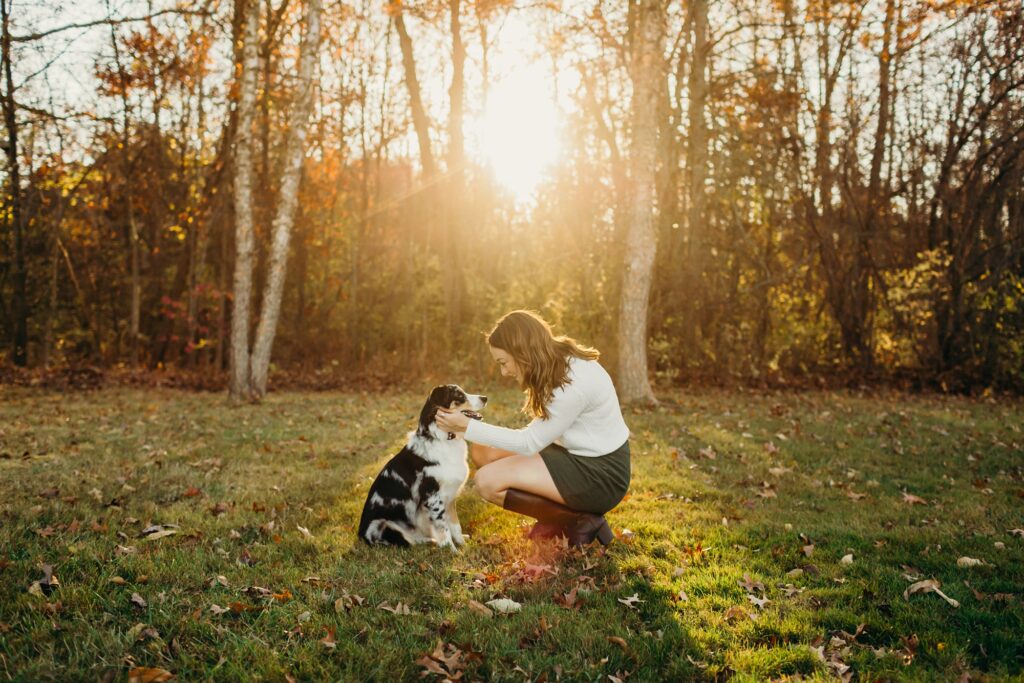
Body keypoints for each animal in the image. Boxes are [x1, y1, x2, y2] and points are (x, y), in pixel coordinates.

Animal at [360, 385, 487, 548]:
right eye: (459, 395)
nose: (485, 398)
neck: (441, 438)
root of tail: (360, 535)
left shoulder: (450, 496)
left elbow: (455, 524)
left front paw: (462, 545)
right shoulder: (433, 498)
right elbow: (443, 528)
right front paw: (452, 550)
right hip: (382, 525)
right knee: (410, 542)